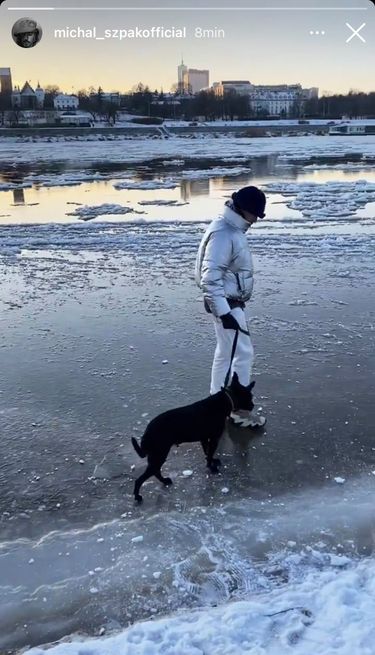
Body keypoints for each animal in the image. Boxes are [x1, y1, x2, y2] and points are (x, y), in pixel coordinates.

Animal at [131, 374, 256, 502]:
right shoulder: (214, 438)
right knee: (142, 478)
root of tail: (147, 431)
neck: (224, 399)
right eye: (249, 396)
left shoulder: (204, 439)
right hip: (159, 455)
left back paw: (165, 481)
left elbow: (207, 452)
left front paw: (212, 462)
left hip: (157, 456)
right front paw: (212, 468)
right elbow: (210, 453)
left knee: (155, 472)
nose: (253, 405)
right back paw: (138, 496)